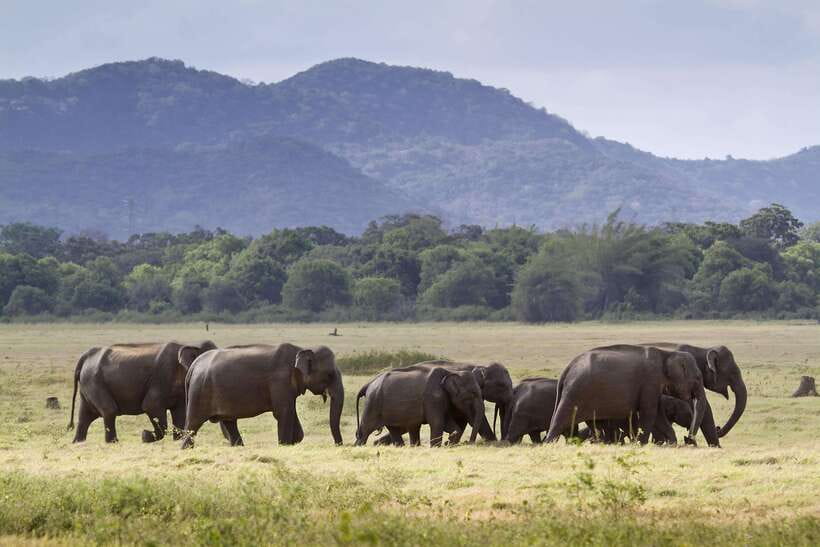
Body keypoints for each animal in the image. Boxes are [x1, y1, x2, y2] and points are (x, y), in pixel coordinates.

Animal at [68, 340, 217, 443]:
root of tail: (85, 356)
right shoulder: (161, 379)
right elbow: (150, 406)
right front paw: (145, 436)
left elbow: (180, 414)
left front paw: (176, 440)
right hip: (94, 382)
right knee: (109, 411)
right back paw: (113, 443)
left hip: (88, 385)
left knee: (85, 416)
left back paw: (78, 442)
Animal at [179, 344, 343, 448]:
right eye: (329, 374)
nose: (339, 445)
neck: (301, 349)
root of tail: (193, 366)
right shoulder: (279, 382)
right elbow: (283, 413)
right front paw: (284, 445)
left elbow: (290, 412)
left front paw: (293, 442)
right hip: (199, 392)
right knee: (193, 425)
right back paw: (186, 449)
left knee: (229, 422)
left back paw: (239, 447)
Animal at [355, 366, 485, 447]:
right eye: (471, 396)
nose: (467, 443)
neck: (450, 372)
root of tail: (369, 383)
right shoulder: (433, 398)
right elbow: (438, 423)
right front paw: (436, 447)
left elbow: (450, 424)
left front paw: (448, 442)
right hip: (373, 402)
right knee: (365, 430)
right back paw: (359, 446)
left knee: (394, 429)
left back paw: (401, 447)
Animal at [367, 360, 513, 445]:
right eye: (502, 386)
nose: (467, 442)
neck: (480, 366)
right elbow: (473, 418)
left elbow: (465, 420)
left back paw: (379, 443)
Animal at [545, 345, 707, 444]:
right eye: (698, 378)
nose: (688, 439)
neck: (667, 353)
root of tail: (567, 368)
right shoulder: (650, 381)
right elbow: (650, 413)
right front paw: (642, 444)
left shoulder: (653, 386)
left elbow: (658, 415)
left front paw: (672, 443)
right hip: (575, 392)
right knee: (559, 420)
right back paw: (548, 444)